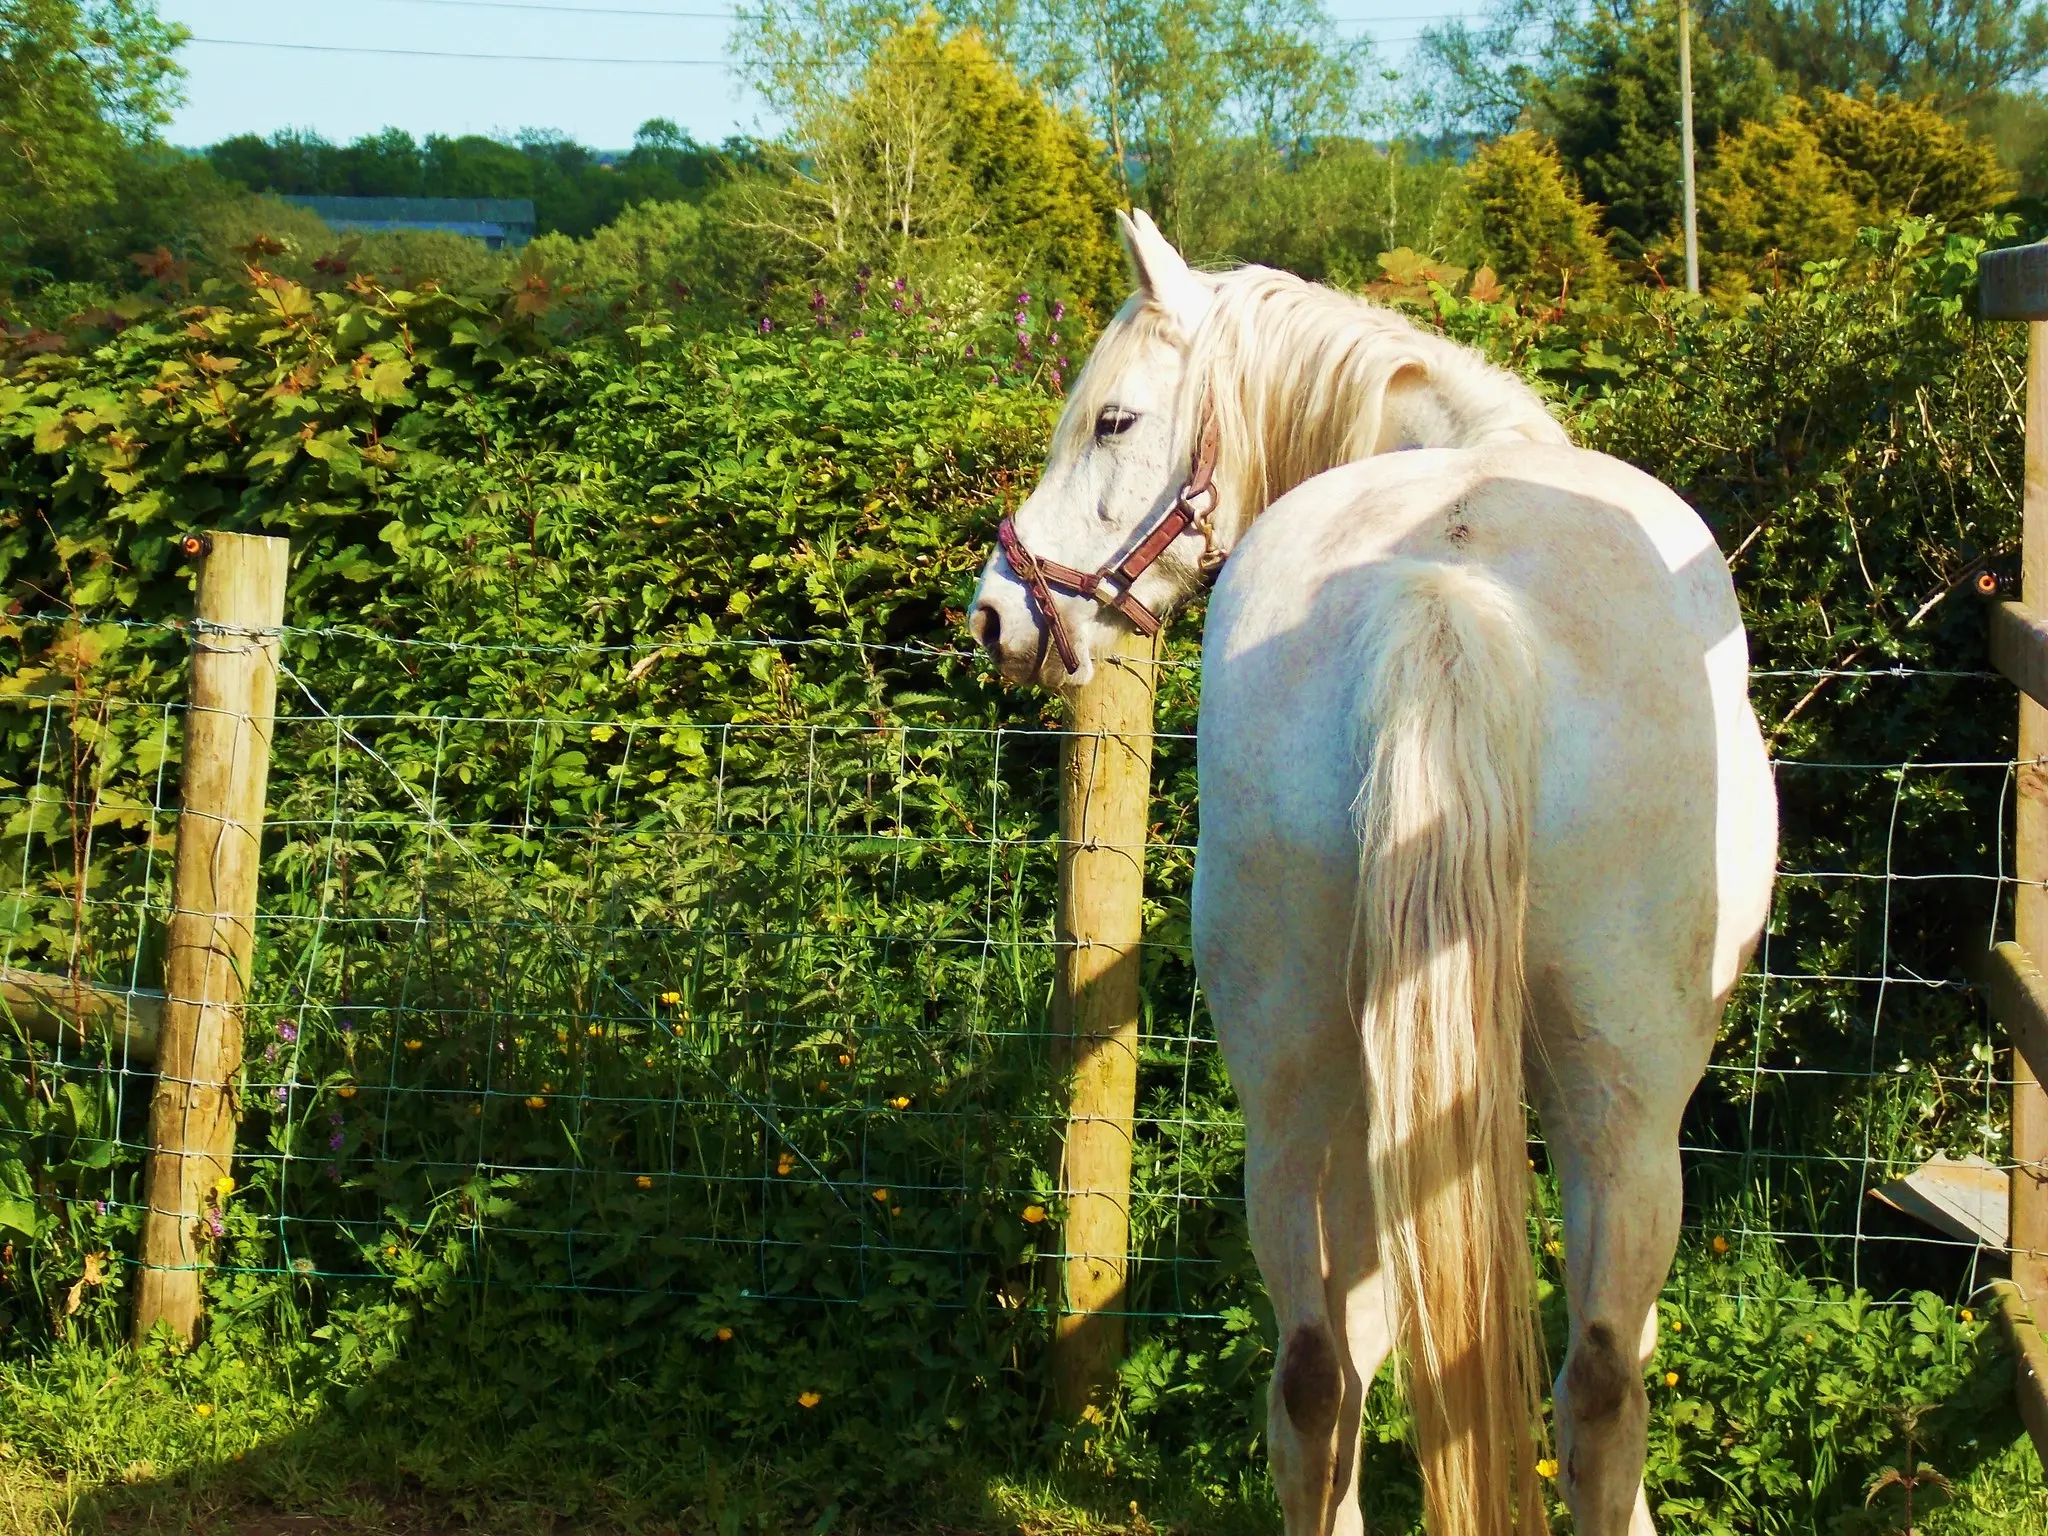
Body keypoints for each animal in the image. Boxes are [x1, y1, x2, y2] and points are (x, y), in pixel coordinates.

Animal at [962, 214, 1777, 1536]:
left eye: (1113, 421)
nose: (995, 616)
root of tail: (1438, 593)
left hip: (1296, 1081)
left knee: (1314, 1366)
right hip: (1622, 1103)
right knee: (1599, 1383)